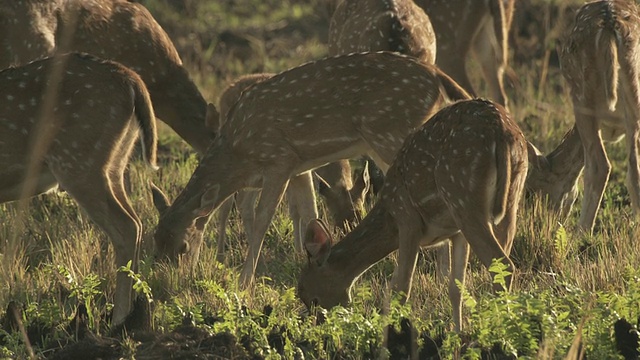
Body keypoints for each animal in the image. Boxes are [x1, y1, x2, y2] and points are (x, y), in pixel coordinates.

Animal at [0, 52, 159, 330]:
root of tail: (132, 80)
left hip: (78, 160)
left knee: (127, 226)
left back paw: (119, 318)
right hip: (114, 163)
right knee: (137, 221)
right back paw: (136, 314)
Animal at [150, 51, 470, 286]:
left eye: (183, 247)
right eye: (155, 240)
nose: (167, 279)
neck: (238, 153)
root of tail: (437, 76)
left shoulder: (279, 159)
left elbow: (262, 219)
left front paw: (244, 282)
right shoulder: (286, 170)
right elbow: (303, 210)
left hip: (391, 131)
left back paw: (442, 276)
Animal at [298, 97, 528, 332]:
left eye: (310, 296)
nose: (320, 325)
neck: (389, 216)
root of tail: (500, 129)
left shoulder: (407, 219)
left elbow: (401, 290)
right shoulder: (455, 233)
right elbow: (454, 288)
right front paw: (457, 334)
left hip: (462, 194)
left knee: (502, 265)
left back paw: (500, 329)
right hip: (510, 198)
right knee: (502, 260)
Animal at [532, 0, 640, 235]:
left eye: (533, 191)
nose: (543, 222)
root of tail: (611, 25)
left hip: (580, 97)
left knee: (600, 166)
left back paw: (581, 232)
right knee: (634, 171)